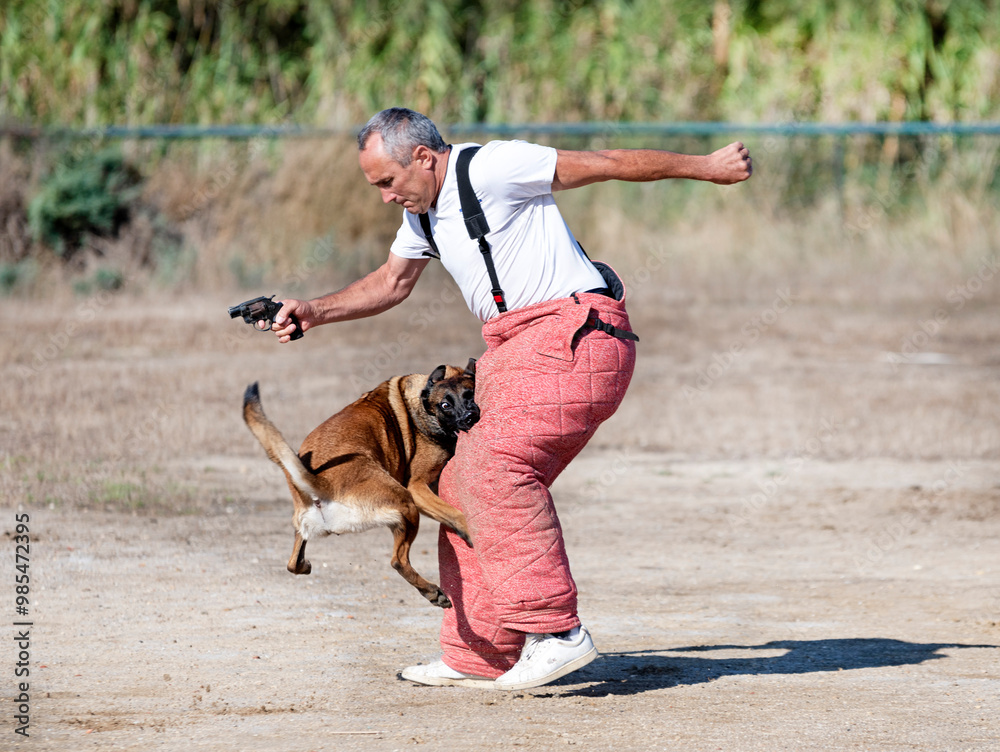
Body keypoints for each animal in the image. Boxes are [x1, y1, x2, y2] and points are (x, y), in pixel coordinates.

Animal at [240, 362, 478, 608]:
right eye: (445, 405)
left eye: (471, 395)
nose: (470, 417)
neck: (420, 401)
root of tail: (321, 483)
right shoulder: (417, 487)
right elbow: (452, 512)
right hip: (406, 503)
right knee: (398, 560)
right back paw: (433, 590)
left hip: (305, 526)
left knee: (293, 562)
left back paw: (304, 565)